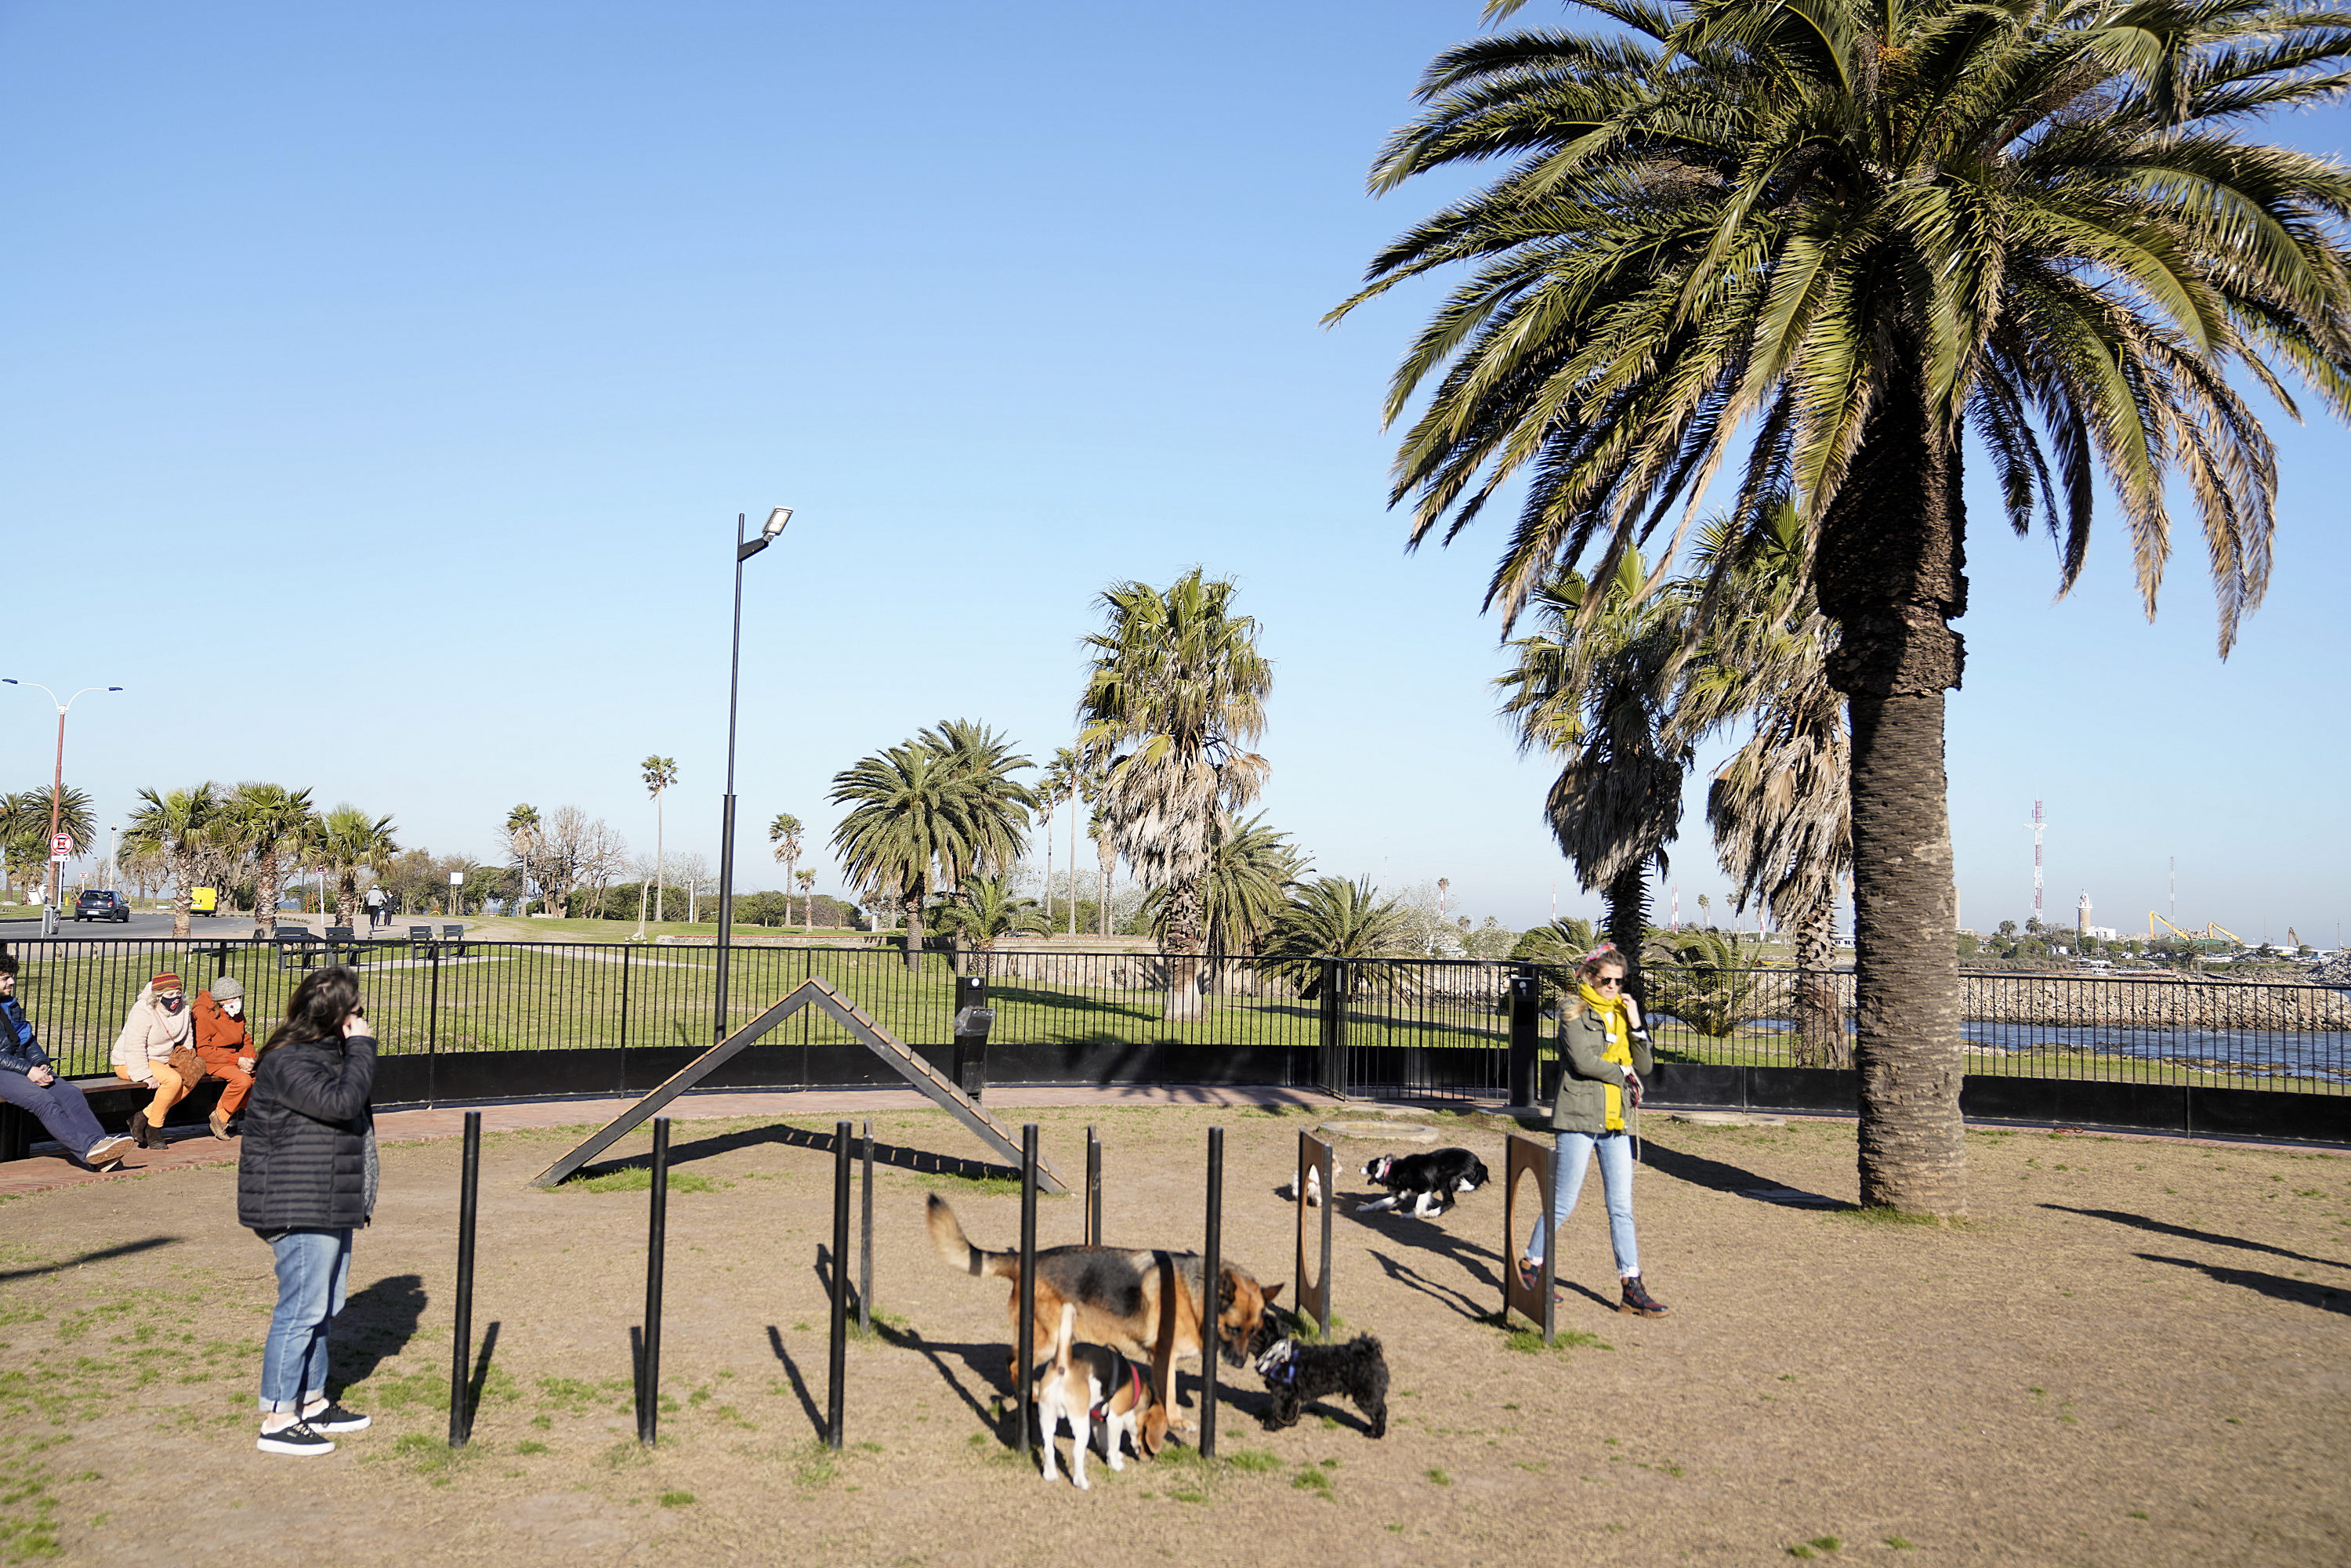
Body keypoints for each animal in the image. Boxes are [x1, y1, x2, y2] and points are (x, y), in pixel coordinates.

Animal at [926, 1190, 1288, 1439]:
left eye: (1253, 1330)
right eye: (1233, 1328)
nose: (1239, 1364)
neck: (1196, 1295)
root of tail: (1023, 1260)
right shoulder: (1164, 1356)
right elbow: (1169, 1392)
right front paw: (1172, 1421)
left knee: (1012, 1358)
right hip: (1047, 1339)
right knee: (1016, 1362)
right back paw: (1030, 1394)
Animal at [1260, 1335, 1382, 1439]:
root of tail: (1369, 1351)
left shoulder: (1283, 1393)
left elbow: (1281, 1410)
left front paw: (1274, 1425)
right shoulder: (1290, 1395)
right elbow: (1290, 1410)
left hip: (1365, 1396)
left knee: (1380, 1413)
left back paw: (1375, 1433)